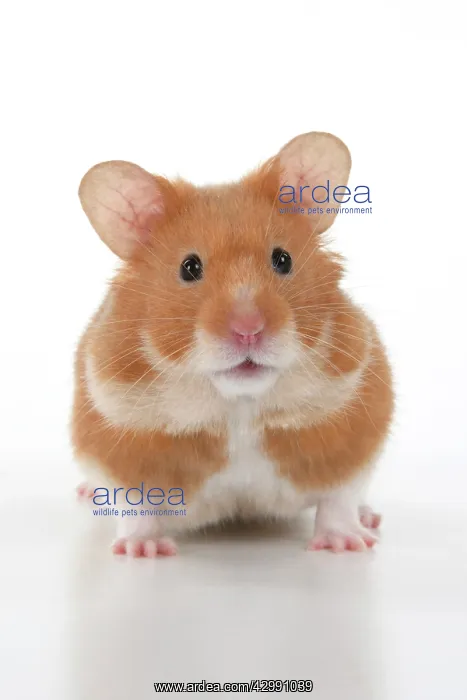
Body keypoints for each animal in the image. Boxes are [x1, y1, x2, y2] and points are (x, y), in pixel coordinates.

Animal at [72, 131, 394, 557]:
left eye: (283, 259)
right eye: (189, 268)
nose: (248, 330)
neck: (238, 406)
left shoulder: (356, 437)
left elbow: (339, 499)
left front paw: (346, 544)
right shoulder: (115, 444)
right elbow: (135, 505)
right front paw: (144, 551)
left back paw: (370, 519)